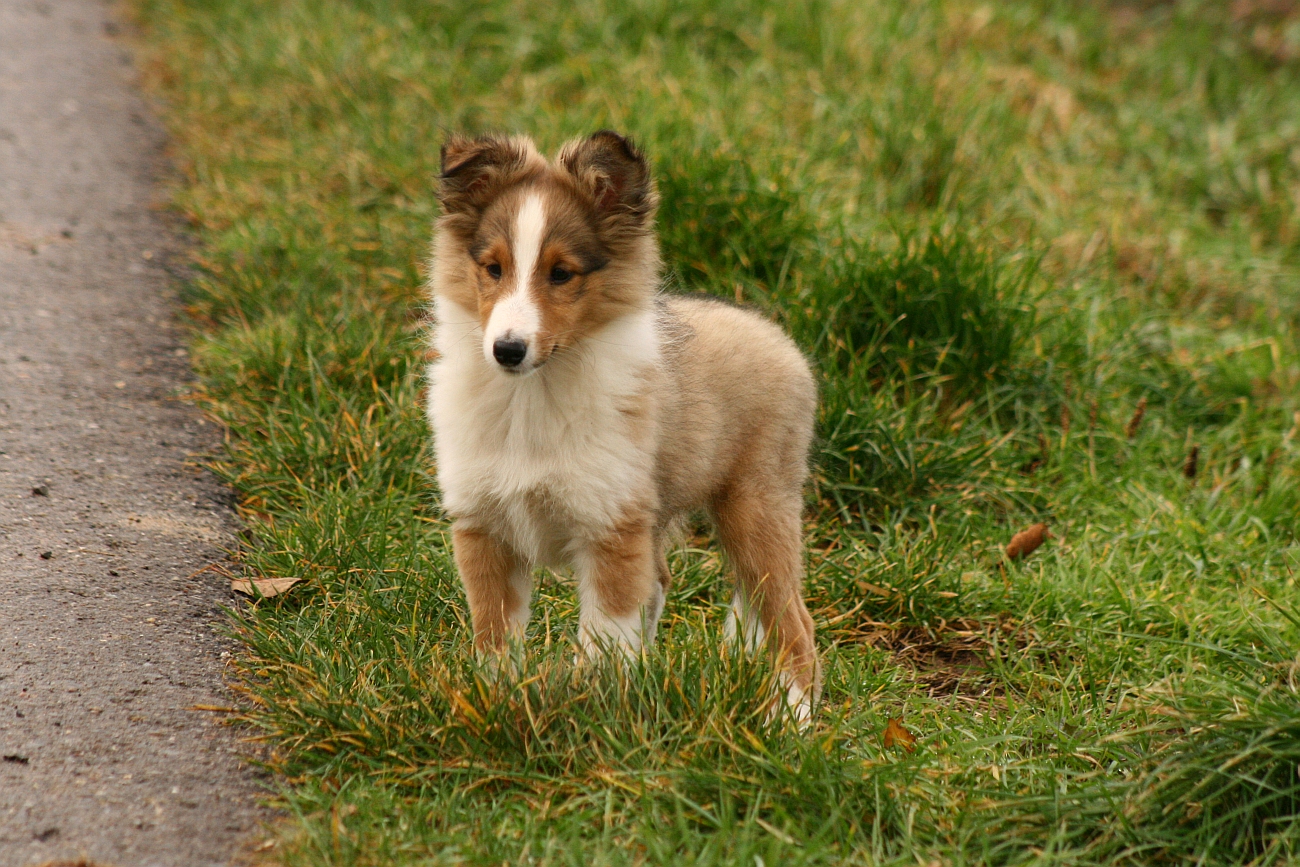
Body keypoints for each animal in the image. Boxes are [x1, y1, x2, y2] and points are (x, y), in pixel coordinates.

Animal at [428, 128, 821, 717]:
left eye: (561, 274)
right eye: (493, 268)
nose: (507, 350)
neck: (532, 396)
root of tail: (780, 338)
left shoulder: (610, 529)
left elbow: (605, 638)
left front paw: (591, 713)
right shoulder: (485, 527)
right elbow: (496, 637)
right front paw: (494, 703)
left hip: (757, 508)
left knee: (796, 625)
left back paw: (790, 720)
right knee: (662, 584)